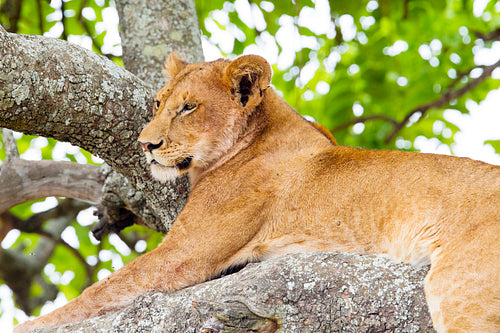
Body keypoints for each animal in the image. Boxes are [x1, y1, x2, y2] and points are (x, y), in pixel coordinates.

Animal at [15, 53, 500, 330]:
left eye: (188, 108)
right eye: (158, 103)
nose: (144, 144)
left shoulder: (184, 253)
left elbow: (99, 292)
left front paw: (31, 325)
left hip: (461, 287)